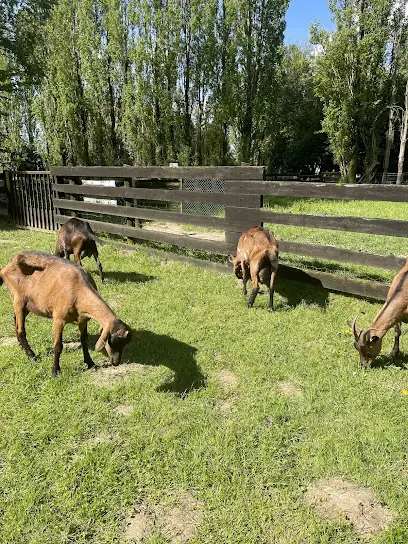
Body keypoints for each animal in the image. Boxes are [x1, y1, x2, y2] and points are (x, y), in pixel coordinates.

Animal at [0, 252, 131, 376]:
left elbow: (84, 340)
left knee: (15, 319)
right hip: (19, 300)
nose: (116, 362)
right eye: (112, 341)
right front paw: (55, 371)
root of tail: (7, 267)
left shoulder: (82, 319)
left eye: (125, 344)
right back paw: (31, 355)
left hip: (27, 304)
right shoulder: (58, 319)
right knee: (21, 329)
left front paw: (90, 363)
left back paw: (21, 346)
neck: (78, 290)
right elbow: (58, 346)